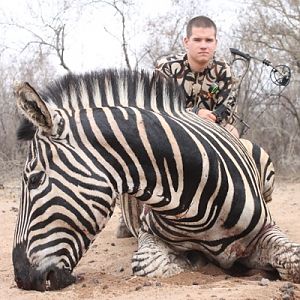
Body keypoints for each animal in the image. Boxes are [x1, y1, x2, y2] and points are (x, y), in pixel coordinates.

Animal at [13, 69, 300, 290]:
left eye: (34, 179)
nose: (22, 278)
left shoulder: (266, 229)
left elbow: (292, 263)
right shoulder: (147, 233)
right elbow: (150, 265)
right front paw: (192, 260)